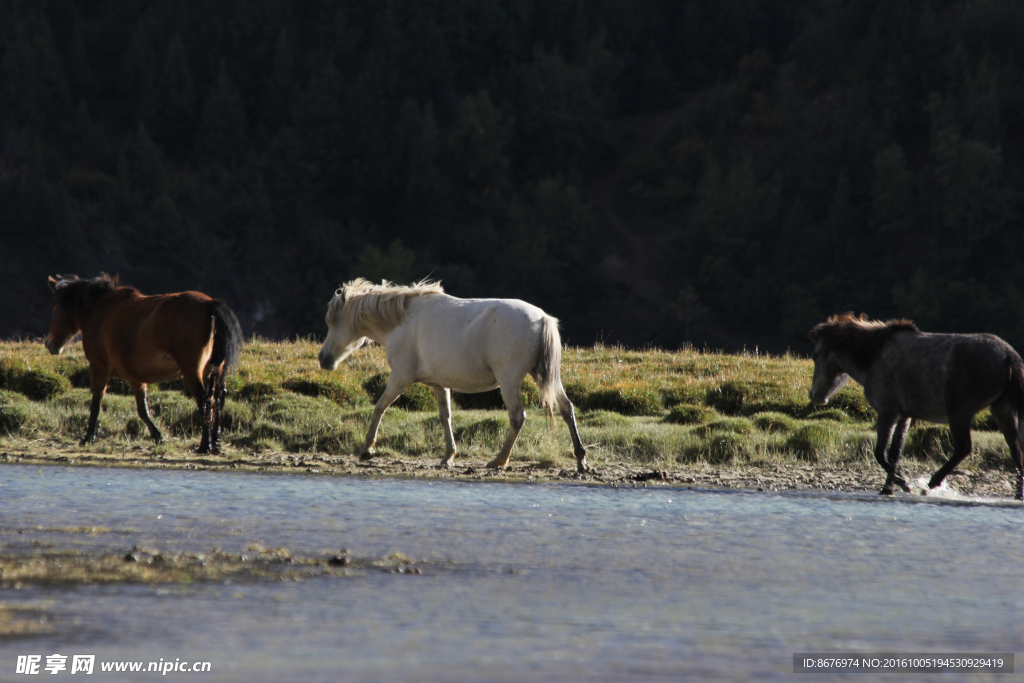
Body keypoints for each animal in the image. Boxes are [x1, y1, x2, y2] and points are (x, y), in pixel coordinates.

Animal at [45, 272, 243, 454]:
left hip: (192, 370)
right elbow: (142, 408)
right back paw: (216, 441)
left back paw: (205, 445)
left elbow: (96, 401)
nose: (50, 344)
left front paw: (88, 437)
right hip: (216, 370)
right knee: (218, 398)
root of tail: (210, 305)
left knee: (204, 401)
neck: (100, 311)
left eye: (54, 308)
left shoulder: (98, 367)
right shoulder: (136, 376)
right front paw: (157, 435)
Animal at [319, 280, 593, 473]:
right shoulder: (439, 384)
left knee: (517, 417)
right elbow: (445, 417)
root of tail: (542, 318)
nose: (323, 359)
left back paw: (499, 460)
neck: (402, 321)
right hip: (546, 378)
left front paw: (367, 449)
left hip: (509, 381)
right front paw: (448, 456)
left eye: (333, 322)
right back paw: (581, 460)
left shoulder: (399, 378)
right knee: (567, 409)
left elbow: (379, 408)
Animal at [806, 313, 1024, 499]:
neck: (873, 358)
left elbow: (880, 453)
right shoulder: (904, 415)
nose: (815, 395)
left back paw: (933, 482)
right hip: (1001, 408)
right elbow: (894, 453)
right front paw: (888, 488)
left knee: (964, 448)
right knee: (1015, 448)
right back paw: (1018, 493)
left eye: (815, 355)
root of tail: (1008, 355)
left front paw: (904, 484)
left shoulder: (887, 412)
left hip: (959, 412)